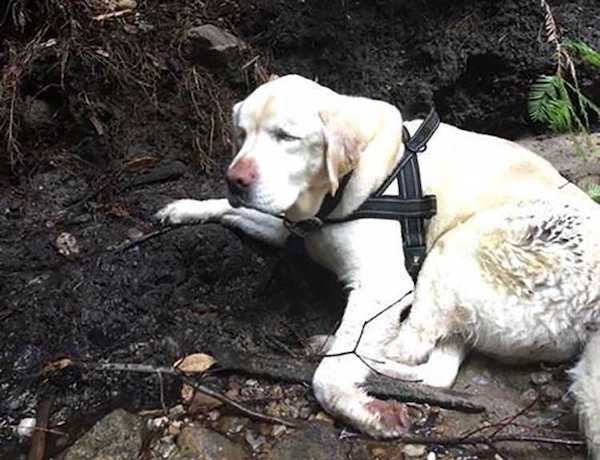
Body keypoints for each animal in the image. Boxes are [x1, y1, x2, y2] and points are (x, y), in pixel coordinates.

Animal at [157, 75, 600, 456]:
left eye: (286, 137)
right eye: (242, 135)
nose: (235, 179)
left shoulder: (384, 285)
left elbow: (327, 378)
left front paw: (364, 410)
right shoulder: (289, 226)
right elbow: (231, 210)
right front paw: (185, 208)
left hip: (458, 247)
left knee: (406, 346)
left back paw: (339, 348)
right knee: (436, 368)